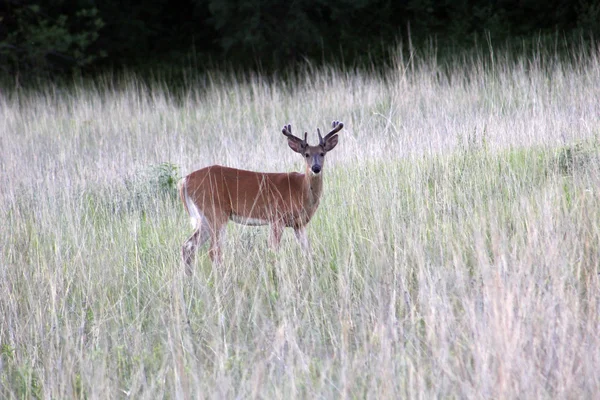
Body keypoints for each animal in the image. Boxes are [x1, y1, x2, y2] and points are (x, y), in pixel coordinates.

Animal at [178, 119, 344, 270]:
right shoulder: (277, 217)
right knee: (213, 250)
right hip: (216, 212)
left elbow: (308, 251)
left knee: (188, 246)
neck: (301, 190)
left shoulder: (299, 224)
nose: (316, 168)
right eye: (306, 154)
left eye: (322, 153)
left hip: (205, 218)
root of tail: (184, 181)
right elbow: (274, 250)